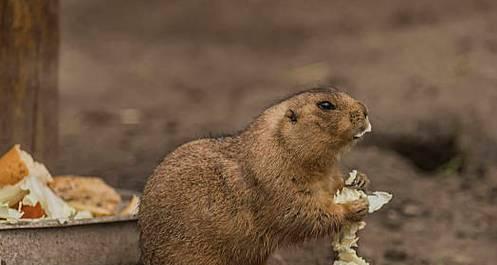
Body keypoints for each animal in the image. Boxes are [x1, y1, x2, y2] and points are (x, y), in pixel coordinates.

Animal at [140, 87, 372, 264]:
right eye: (325, 105)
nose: (365, 109)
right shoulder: (275, 180)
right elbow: (301, 213)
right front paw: (354, 207)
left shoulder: (327, 174)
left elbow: (333, 187)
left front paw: (360, 180)